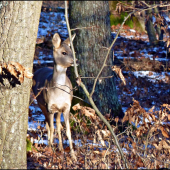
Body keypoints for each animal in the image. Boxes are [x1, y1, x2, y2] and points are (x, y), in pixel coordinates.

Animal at [31, 32, 76, 161]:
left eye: (71, 51)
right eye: (64, 52)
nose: (74, 60)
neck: (59, 93)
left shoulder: (66, 107)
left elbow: (68, 130)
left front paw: (73, 155)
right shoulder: (50, 106)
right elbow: (51, 127)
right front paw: (50, 150)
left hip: (58, 110)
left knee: (58, 124)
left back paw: (60, 147)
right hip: (41, 103)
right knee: (48, 124)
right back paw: (51, 145)